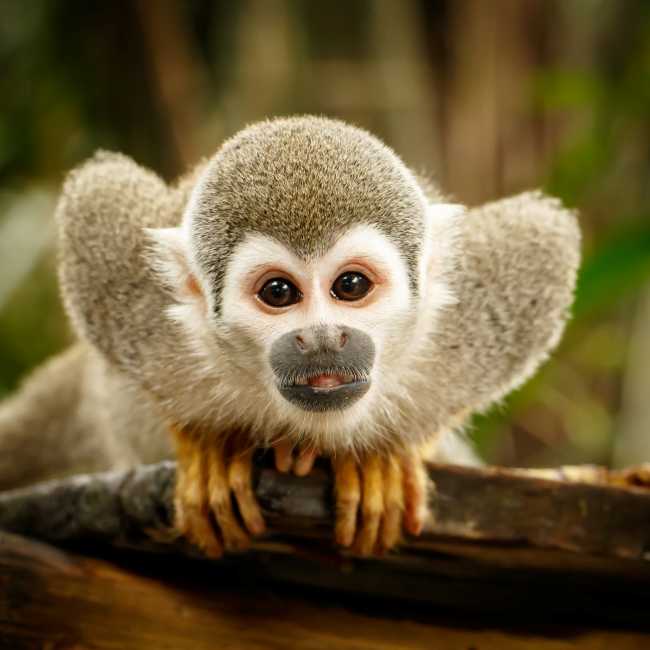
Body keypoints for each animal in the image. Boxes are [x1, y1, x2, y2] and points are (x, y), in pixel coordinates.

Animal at [0, 116, 580, 557]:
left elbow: (543, 237)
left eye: (351, 285)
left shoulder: (474, 318)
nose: (323, 338)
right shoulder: (138, 315)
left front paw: (387, 456)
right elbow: (96, 197)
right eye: (278, 292)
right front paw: (204, 443)